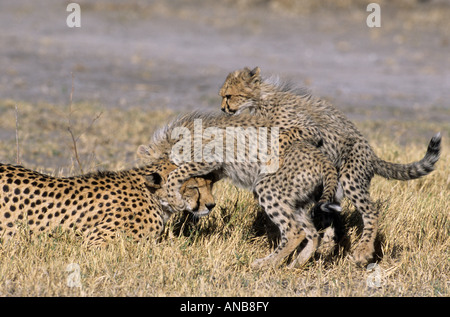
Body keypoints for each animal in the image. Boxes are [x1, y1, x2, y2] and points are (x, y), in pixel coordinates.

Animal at [137, 111, 344, 266]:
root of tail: (324, 159)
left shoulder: (209, 157)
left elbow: (179, 172)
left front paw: (173, 195)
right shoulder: (216, 168)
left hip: (267, 187)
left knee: (294, 231)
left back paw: (265, 264)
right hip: (295, 200)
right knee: (312, 233)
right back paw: (296, 263)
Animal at [220, 66, 442, 264]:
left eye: (228, 96)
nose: (223, 108)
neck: (260, 99)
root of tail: (372, 154)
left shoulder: (309, 130)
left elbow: (283, 137)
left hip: (350, 177)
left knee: (371, 211)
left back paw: (362, 251)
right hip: (331, 187)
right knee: (330, 216)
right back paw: (325, 246)